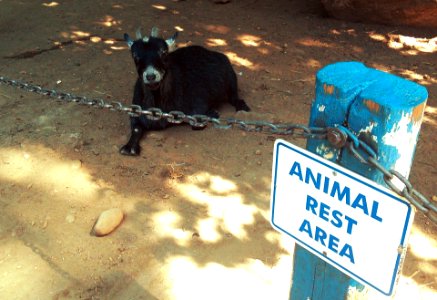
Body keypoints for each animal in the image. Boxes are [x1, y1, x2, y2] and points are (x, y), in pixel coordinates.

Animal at [120, 27, 249, 156]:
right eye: (135, 56)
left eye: (163, 52)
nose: (151, 76)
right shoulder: (137, 110)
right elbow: (136, 128)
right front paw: (129, 148)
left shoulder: (198, 101)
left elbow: (196, 124)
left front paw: (212, 113)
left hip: (231, 76)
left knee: (234, 97)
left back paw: (242, 107)